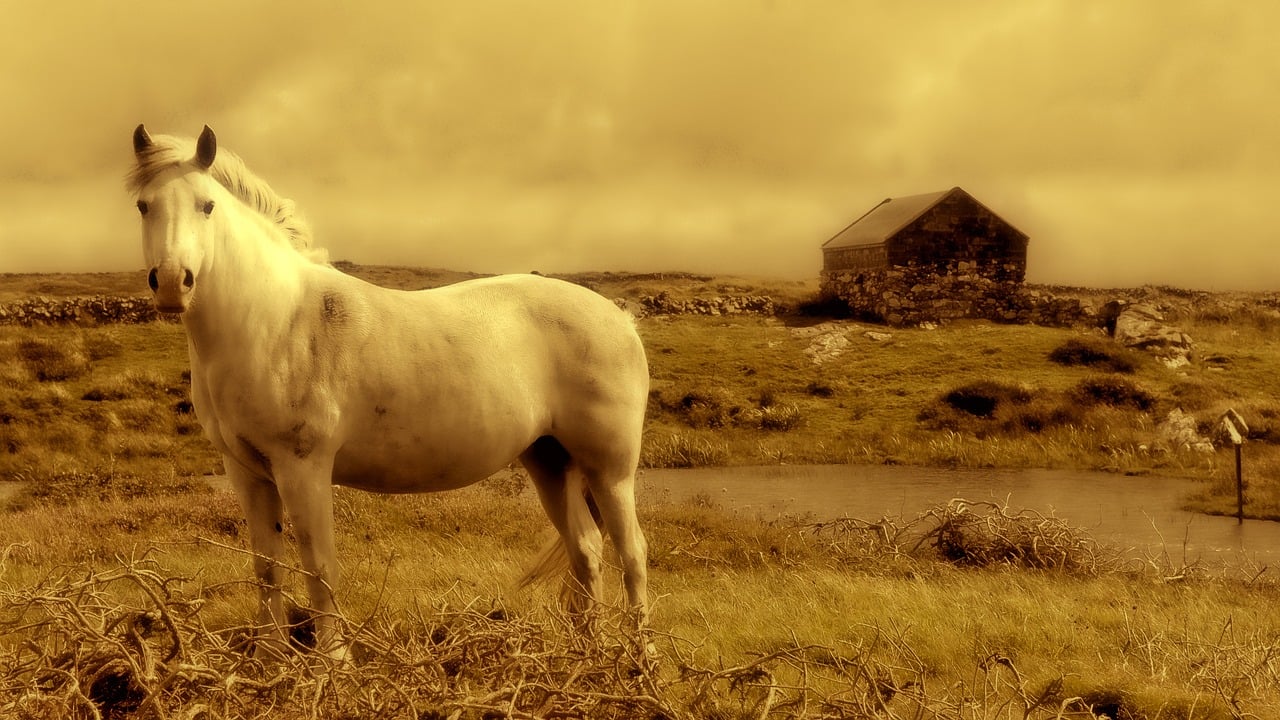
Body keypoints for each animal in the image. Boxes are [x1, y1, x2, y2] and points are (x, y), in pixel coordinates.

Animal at [128, 126, 650, 653]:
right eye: (143, 205)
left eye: (207, 205)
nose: (171, 283)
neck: (275, 319)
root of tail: (620, 319)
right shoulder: (247, 473)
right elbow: (267, 568)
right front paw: (271, 656)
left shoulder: (304, 469)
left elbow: (319, 567)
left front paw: (333, 660)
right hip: (549, 461)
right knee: (586, 549)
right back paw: (587, 651)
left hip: (610, 471)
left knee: (632, 553)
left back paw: (639, 656)